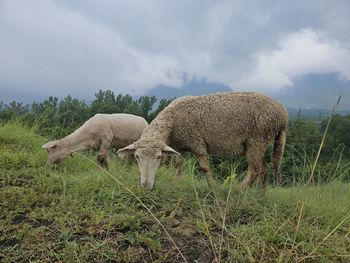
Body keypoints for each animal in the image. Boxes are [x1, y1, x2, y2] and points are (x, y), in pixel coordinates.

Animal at [117, 93, 288, 190]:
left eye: (158, 157)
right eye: (137, 157)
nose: (146, 185)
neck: (173, 120)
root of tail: (282, 114)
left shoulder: (197, 143)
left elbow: (204, 168)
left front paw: (213, 187)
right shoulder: (180, 146)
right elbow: (179, 164)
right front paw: (176, 182)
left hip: (256, 139)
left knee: (255, 170)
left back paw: (237, 189)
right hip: (260, 143)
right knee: (264, 168)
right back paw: (259, 192)